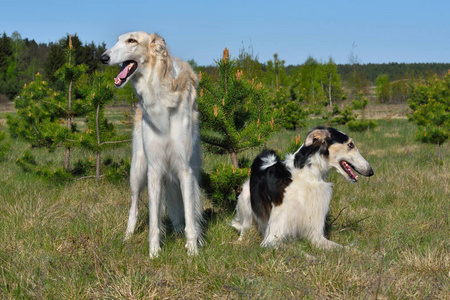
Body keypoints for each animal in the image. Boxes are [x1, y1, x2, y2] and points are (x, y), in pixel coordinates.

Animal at [102, 31, 202, 258]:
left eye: (132, 40)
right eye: (117, 40)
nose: (103, 57)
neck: (159, 93)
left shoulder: (185, 169)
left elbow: (190, 218)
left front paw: (192, 251)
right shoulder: (154, 169)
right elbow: (154, 222)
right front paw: (154, 253)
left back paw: (178, 233)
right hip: (137, 171)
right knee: (134, 207)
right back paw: (127, 237)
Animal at [230, 126, 374, 248]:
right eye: (350, 145)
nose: (371, 171)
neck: (308, 176)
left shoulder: (315, 234)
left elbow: (342, 248)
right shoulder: (271, 238)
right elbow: (295, 249)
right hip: (245, 204)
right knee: (244, 230)